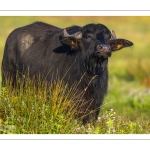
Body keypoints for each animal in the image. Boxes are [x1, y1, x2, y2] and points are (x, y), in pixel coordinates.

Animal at [1, 22, 133, 123]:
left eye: (108, 37)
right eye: (88, 36)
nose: (105, 48)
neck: (88, 77)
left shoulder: (95, 105)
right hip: (9, 82)